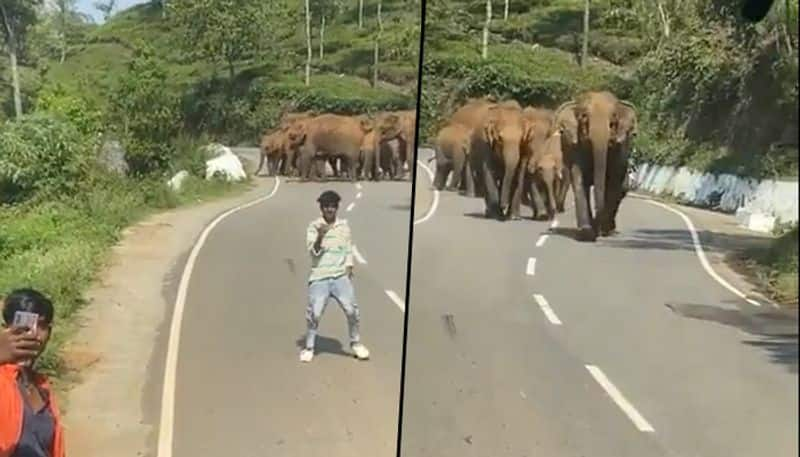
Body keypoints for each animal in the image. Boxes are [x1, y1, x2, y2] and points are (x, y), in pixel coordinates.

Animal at [556, 90, 636, 240]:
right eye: (584, 117)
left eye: (613, 121)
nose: (597, 230)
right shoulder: (575, 147)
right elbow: (579, 179)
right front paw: (586, 233)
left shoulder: (619, 148)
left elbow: (613, 182)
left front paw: (602, 231)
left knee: (621, 189)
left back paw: (609, 230)